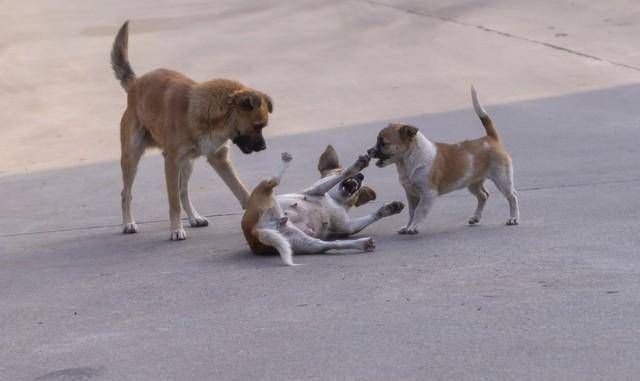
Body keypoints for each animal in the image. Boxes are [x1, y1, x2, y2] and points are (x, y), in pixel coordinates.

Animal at [111, 20, 272, 239]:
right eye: (258, 126)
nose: (263, 147)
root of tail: (135, 83)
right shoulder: (171, 162)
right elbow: (173, 203)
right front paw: (176, 229)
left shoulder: (219, 159)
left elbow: (242, 192)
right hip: (132, 157)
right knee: (126, 193)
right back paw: (128, 223)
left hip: (188, 163)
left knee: (183, 191)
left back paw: (194, 218)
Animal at [242, 147, 402, 266]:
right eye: (337, 170)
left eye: (360, 191)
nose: (361, 177)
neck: (336, 201)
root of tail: (254, 232)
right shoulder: (316, 189)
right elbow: (342, 174)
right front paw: (356, 166)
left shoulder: (347, 226)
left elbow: (373, 216)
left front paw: (390, 208)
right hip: (262, 191)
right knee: (272, 181)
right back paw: (285, 160)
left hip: (303, 242)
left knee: (330, 244)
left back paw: (363, 244)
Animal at [368, 87, 516, 233]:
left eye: (384, 143)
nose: (368, 151)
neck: (410, 161)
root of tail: (490, 138)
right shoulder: (410, 194)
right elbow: (411, 212)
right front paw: (407, 226)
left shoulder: (428, 194)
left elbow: (419, 211)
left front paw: (413, 227)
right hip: (473, 183)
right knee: (483, 195)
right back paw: (475, 217)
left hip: (502, 180)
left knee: (512, 196)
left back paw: (513, 218)